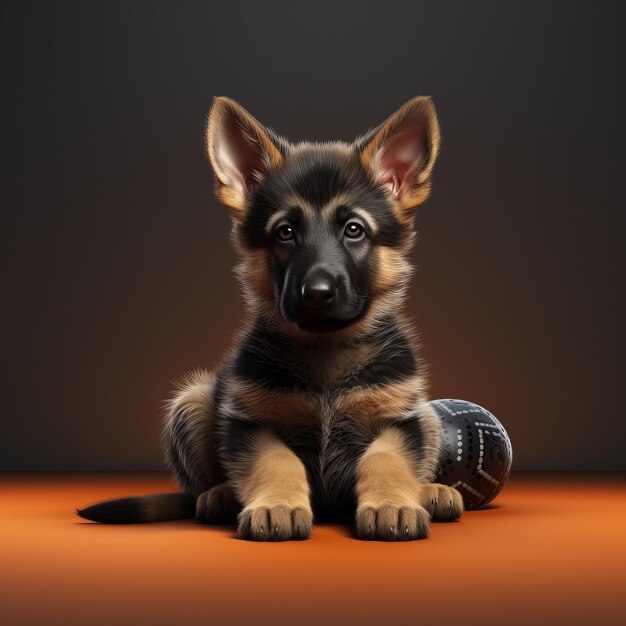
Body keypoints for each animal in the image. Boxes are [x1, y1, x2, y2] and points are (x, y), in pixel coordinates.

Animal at [77, 95, 464, 540]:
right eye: (285, 232)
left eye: (354, 230)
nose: (317, 294)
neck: (324, 350)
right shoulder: (251, 423)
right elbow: (277, 461)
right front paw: (277, 505)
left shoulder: (400, 420)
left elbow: (386, 458)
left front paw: (391, 504)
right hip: (192, 402)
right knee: (203, 481)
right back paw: (219, 496)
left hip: (429, 416)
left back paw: (432, 491)